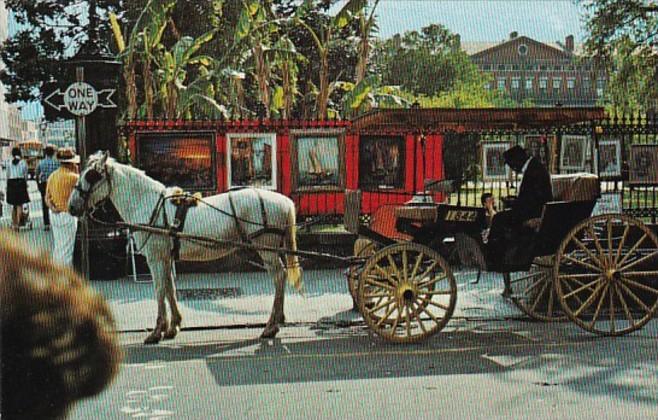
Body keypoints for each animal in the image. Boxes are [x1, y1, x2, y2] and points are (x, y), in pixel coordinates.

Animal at [68, 153, 302, 342]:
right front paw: (173, 326)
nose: (71, 206)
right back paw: (277, 322)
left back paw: (271, 326)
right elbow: (170, 288)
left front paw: (157, 331)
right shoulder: (165, 257)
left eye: (91, 176)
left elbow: (159, 289)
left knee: (278, 277)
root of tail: (283, 201)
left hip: (267, 249)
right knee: (280, 277)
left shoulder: (155, 258)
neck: (147, 203)